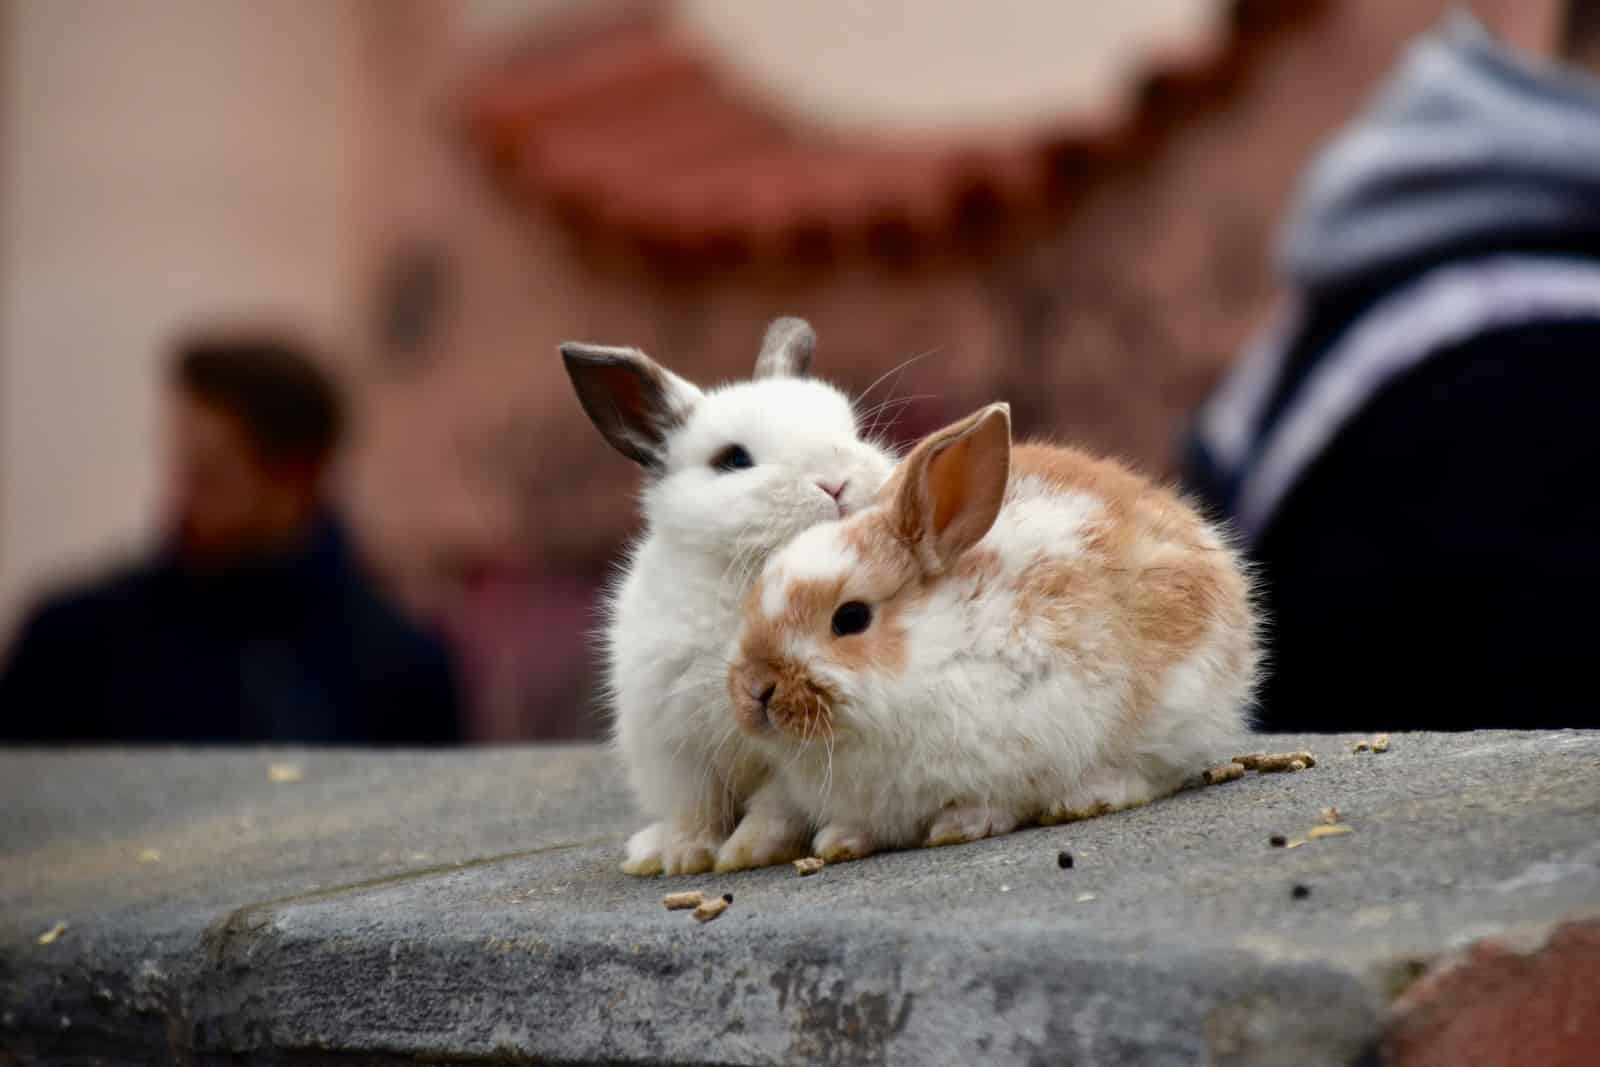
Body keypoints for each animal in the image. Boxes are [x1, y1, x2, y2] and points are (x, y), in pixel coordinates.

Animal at [560, 319, 902, 876]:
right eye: (733, 460)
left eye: (853, 432)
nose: (835, 484)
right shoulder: (677, 749)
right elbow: (696, 809)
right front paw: (686, 858)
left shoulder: (788, 756)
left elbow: (774, 807)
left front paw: (746, 854)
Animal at [726, 404, 1260, 863]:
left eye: (851, 618)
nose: (756, 689)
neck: (934, 651)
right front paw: (839, 841)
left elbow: (996, 799)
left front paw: (960, 826)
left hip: (1177, 706)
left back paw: (1087, 797)